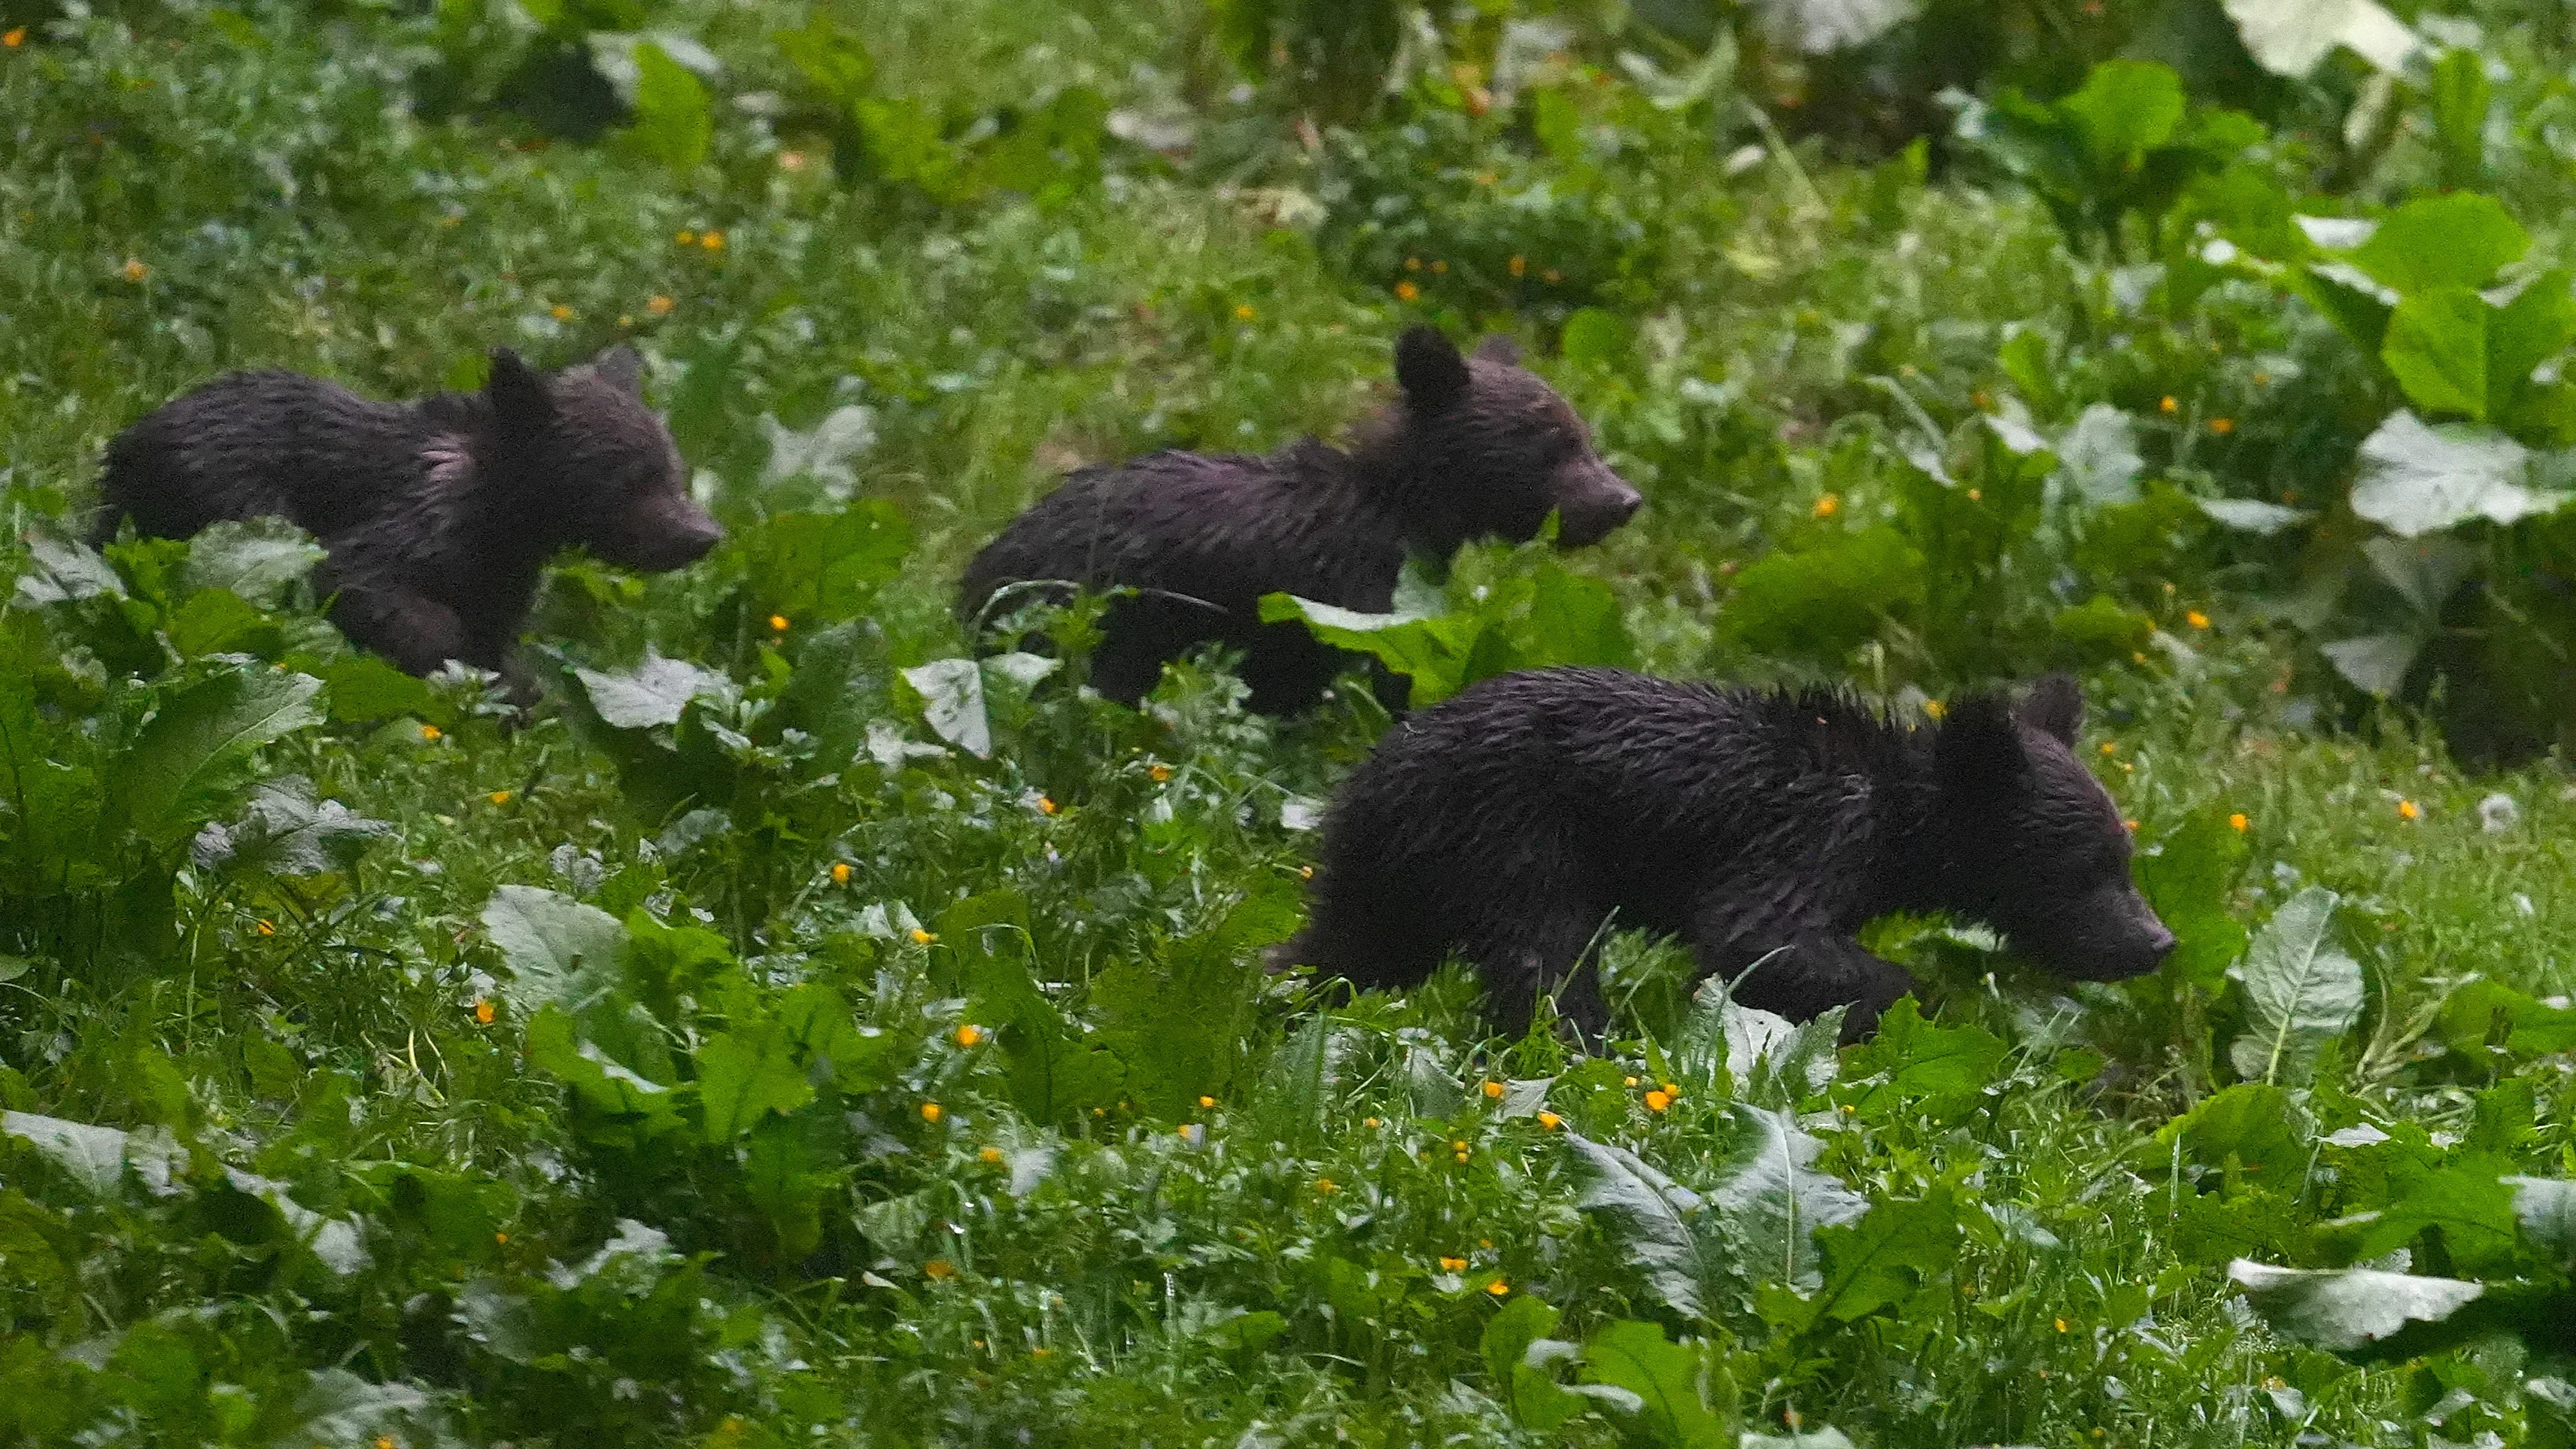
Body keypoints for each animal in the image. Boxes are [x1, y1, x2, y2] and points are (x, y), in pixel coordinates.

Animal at [92, 346, 721, 696]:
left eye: (673, 468)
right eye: (629, 478)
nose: (705, 536)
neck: (507, 518)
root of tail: (127, 442)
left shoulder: (502, 575)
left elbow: (496, 642)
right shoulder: (413, 525)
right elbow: (359, 578)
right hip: (227, 500)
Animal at [1280, 667, 2174, 1043]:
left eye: (2125, 856)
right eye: (2087, 866)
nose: (2158, 942)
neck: (1896, 832)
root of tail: (1376, 767)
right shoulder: (1810, 837)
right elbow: (1756, 932)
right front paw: (1884, 1007)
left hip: (1392, 871)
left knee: (1340, 948)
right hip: (1514, 838)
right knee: (1549, 959)